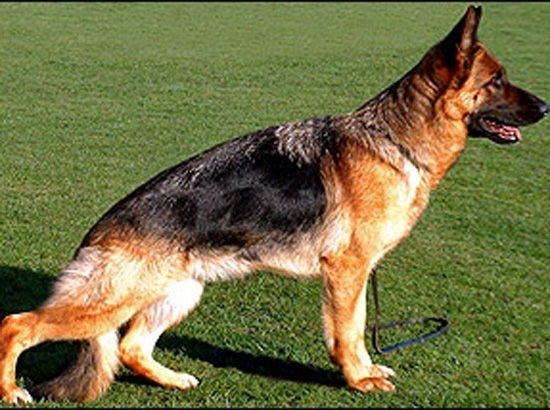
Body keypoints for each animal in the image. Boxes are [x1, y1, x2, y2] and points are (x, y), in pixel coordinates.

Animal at [0, 5, 547, 404]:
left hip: (179, 292)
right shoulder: (346, 270)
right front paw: (358, 379)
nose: (545, 107)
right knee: (16, 325)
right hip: (113, 300)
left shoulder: (357, 273)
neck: (396, 139)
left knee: (132, 348)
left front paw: (366, 370)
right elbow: (349, 332)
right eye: (497, 80)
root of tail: (101, 228)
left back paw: (173, 379)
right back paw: (10, 392)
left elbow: (359, 327)